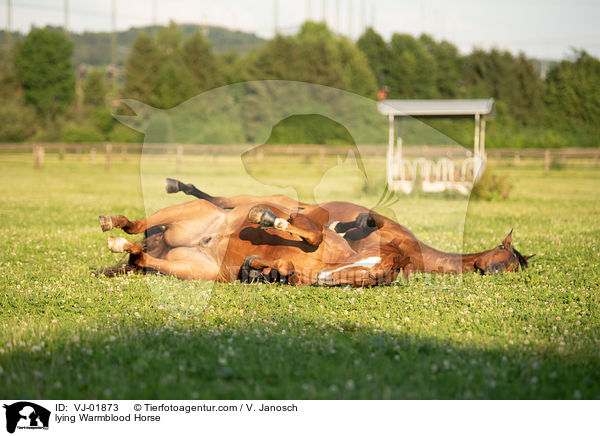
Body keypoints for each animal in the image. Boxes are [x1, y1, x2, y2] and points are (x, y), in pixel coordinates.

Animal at [164, 178, 536, 276]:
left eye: (515, 268)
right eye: (502, 252)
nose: (494, 272)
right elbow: (362, 221)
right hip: (269, 199)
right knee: (222, 198)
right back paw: (180, 185)